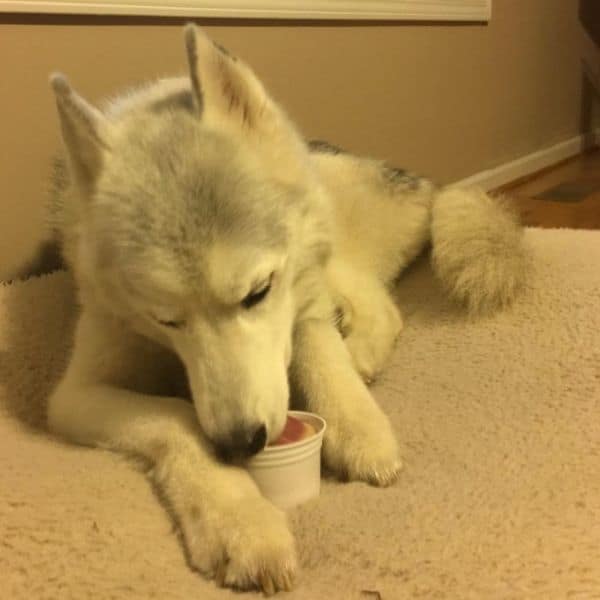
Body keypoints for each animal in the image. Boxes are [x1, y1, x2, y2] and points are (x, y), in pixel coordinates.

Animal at [44, 24, 528, 596]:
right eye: (165, 319)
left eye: (258, 292)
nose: (240, 442)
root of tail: (420, 182)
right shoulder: (76, 395)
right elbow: (174, 419)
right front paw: (238, 518)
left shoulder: (301, 294)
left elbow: (316, 348)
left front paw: (356, 424)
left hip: (331, 240)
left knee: (380, 304)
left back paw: (361, 353)